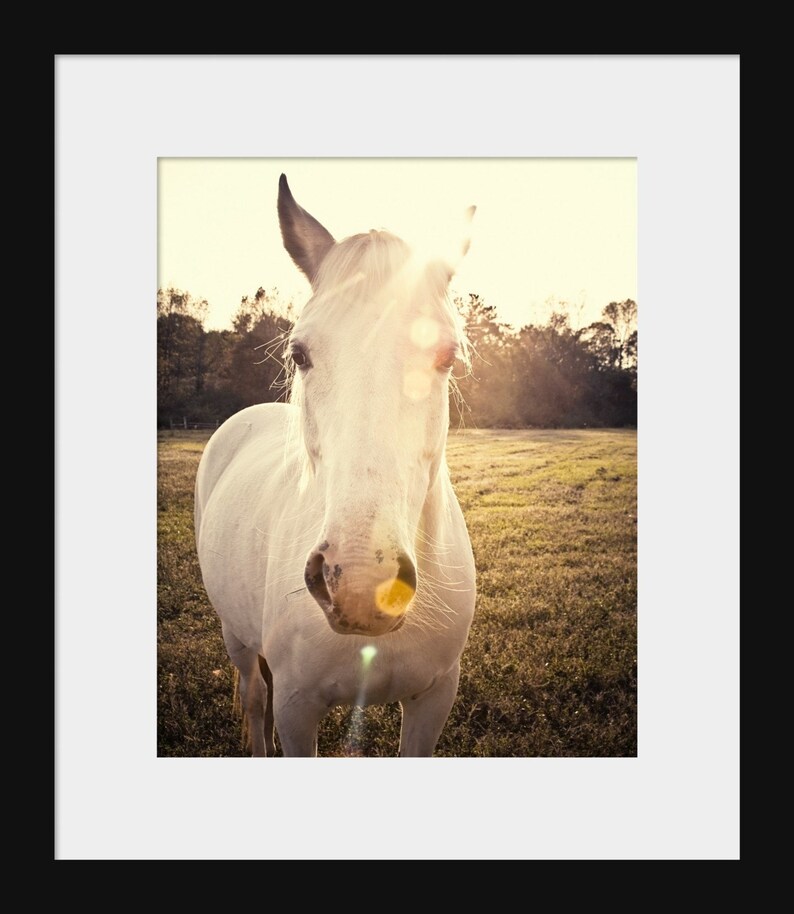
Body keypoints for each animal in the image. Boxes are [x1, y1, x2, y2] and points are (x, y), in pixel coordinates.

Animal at [194, 174, 477, 756]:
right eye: (299, 354)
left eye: (447, 357)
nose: (362, 583)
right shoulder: (296, 709)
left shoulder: (434, 700)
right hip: (236, 637)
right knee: (253, 697)